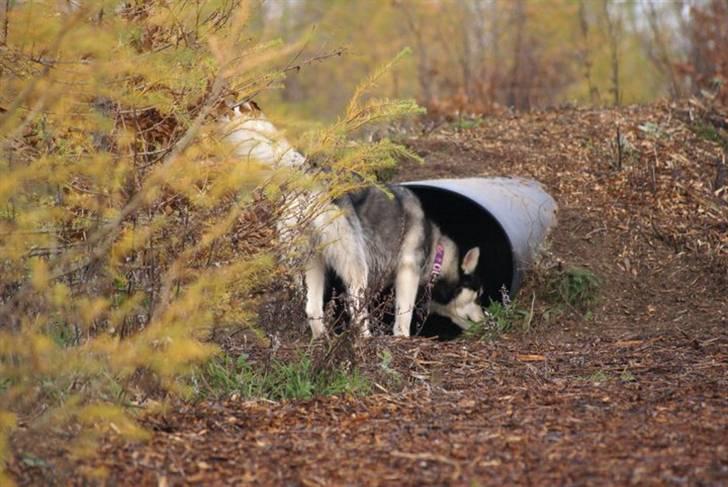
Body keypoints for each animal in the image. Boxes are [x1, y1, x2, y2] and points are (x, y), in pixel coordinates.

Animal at [222, 102, 484, 340]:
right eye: (478, 295)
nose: (488, 318)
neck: (436, 248)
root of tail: (310, 173)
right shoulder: (407, 272)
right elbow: (403, 317)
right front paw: (402, 338)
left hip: (312, 262)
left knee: (311, 308)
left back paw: (322, 340)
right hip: (355, 266)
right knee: (355, 308)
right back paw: (365, 340)